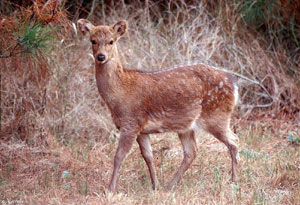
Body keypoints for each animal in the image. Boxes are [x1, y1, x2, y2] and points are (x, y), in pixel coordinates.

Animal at [77, 18, 239, 192]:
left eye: (111, 41)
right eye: (93, 41)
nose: (101, 56)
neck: (120, 93)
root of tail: (233, 83)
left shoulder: (131, 123)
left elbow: (119, 156)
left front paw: (110, 189)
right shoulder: (141, 129)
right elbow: (148, 156)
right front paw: (155, 185)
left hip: (217, 115)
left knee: (234, 141)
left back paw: (234, 181)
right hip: (186, 125)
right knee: (191, 151)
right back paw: (170, 185)